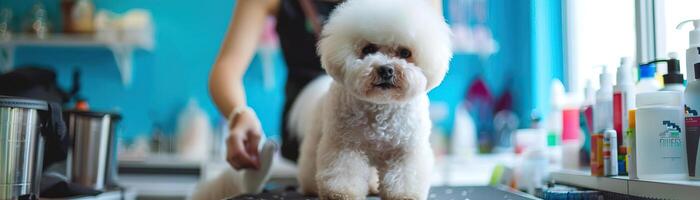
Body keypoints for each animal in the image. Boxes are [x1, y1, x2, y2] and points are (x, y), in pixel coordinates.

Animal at [292, 0, 454, 198]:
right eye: (368, 49)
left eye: (405, 53)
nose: (386, 69)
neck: (381, 106)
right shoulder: (345, 146)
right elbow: (343, 171)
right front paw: (341, 193)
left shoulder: (406, 151)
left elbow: (406, 176)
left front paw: (405, 194)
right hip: (319, 135)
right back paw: (311, 187)